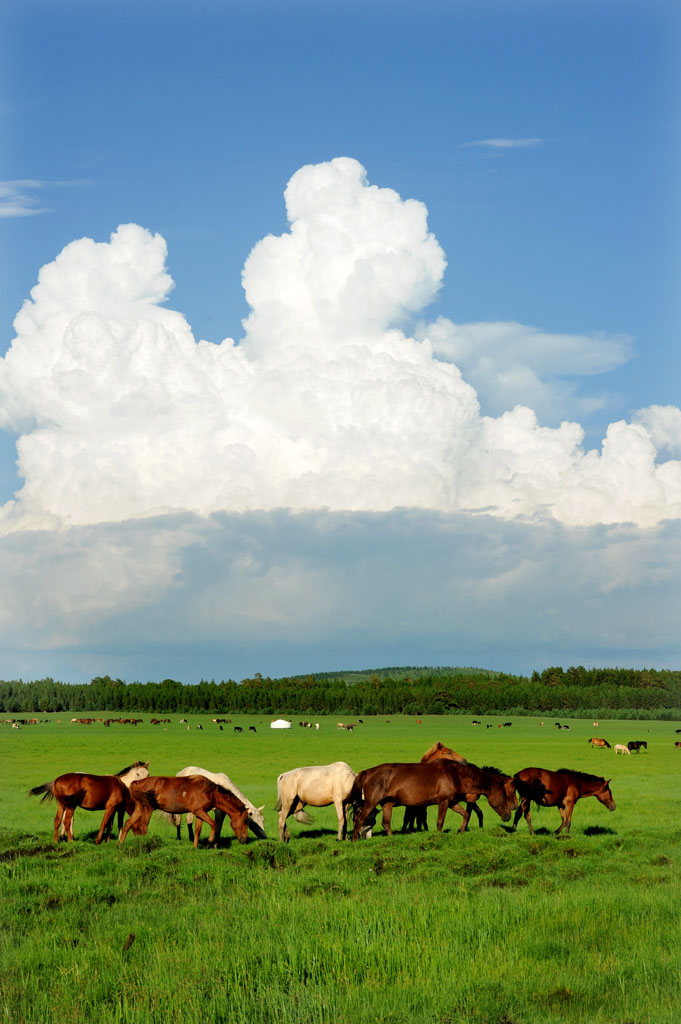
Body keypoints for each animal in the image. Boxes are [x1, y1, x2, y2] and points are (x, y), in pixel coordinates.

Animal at [119, 774, 249, 847]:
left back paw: (120, 844)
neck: (211, 792)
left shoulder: (200, 814)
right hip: (147, 809)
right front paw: (209, 841)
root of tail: (136, 782)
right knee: (143, 827)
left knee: (128, 824)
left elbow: (197, 830)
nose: (244, 840)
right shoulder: (199, 811)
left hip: (140, 809)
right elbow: (213, 824)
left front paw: (195, 847)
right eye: (245, 821)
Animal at [350, 761, 516, 839]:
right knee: (359, 819)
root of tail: (367, 772)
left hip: (387, 804)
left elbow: (466, 814)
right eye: (504, 795)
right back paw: (353, 840)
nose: (509, 815)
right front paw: (437, 837)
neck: (456, 774)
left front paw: (461, 831)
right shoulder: (443, 802)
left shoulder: (452, 803)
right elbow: (439, 822)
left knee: (386, 823)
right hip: (371, 803)